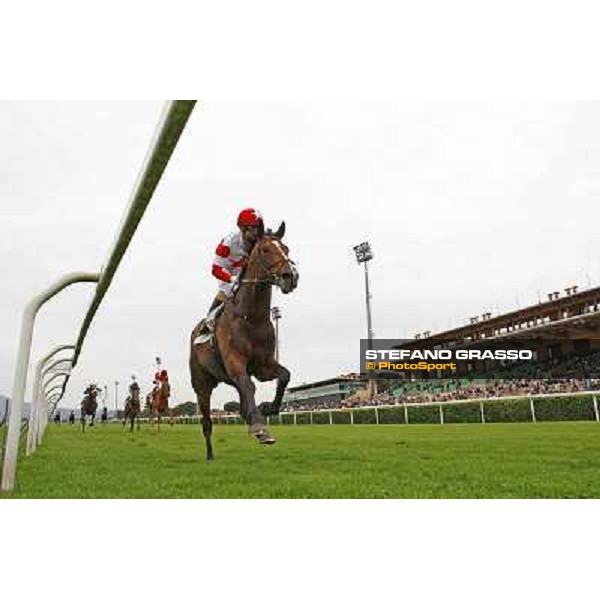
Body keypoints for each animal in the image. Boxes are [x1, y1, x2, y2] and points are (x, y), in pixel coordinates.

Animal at [190, 220, 298, 460]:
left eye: (286, 249)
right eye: (265, 249)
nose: (290, 276)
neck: (252, 318)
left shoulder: (262, 365)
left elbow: (284, 375)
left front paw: (269, 409)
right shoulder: (236, 362)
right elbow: (249, 386)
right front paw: (260, 427)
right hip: (202, 384)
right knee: (207, 421)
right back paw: (210, 454)